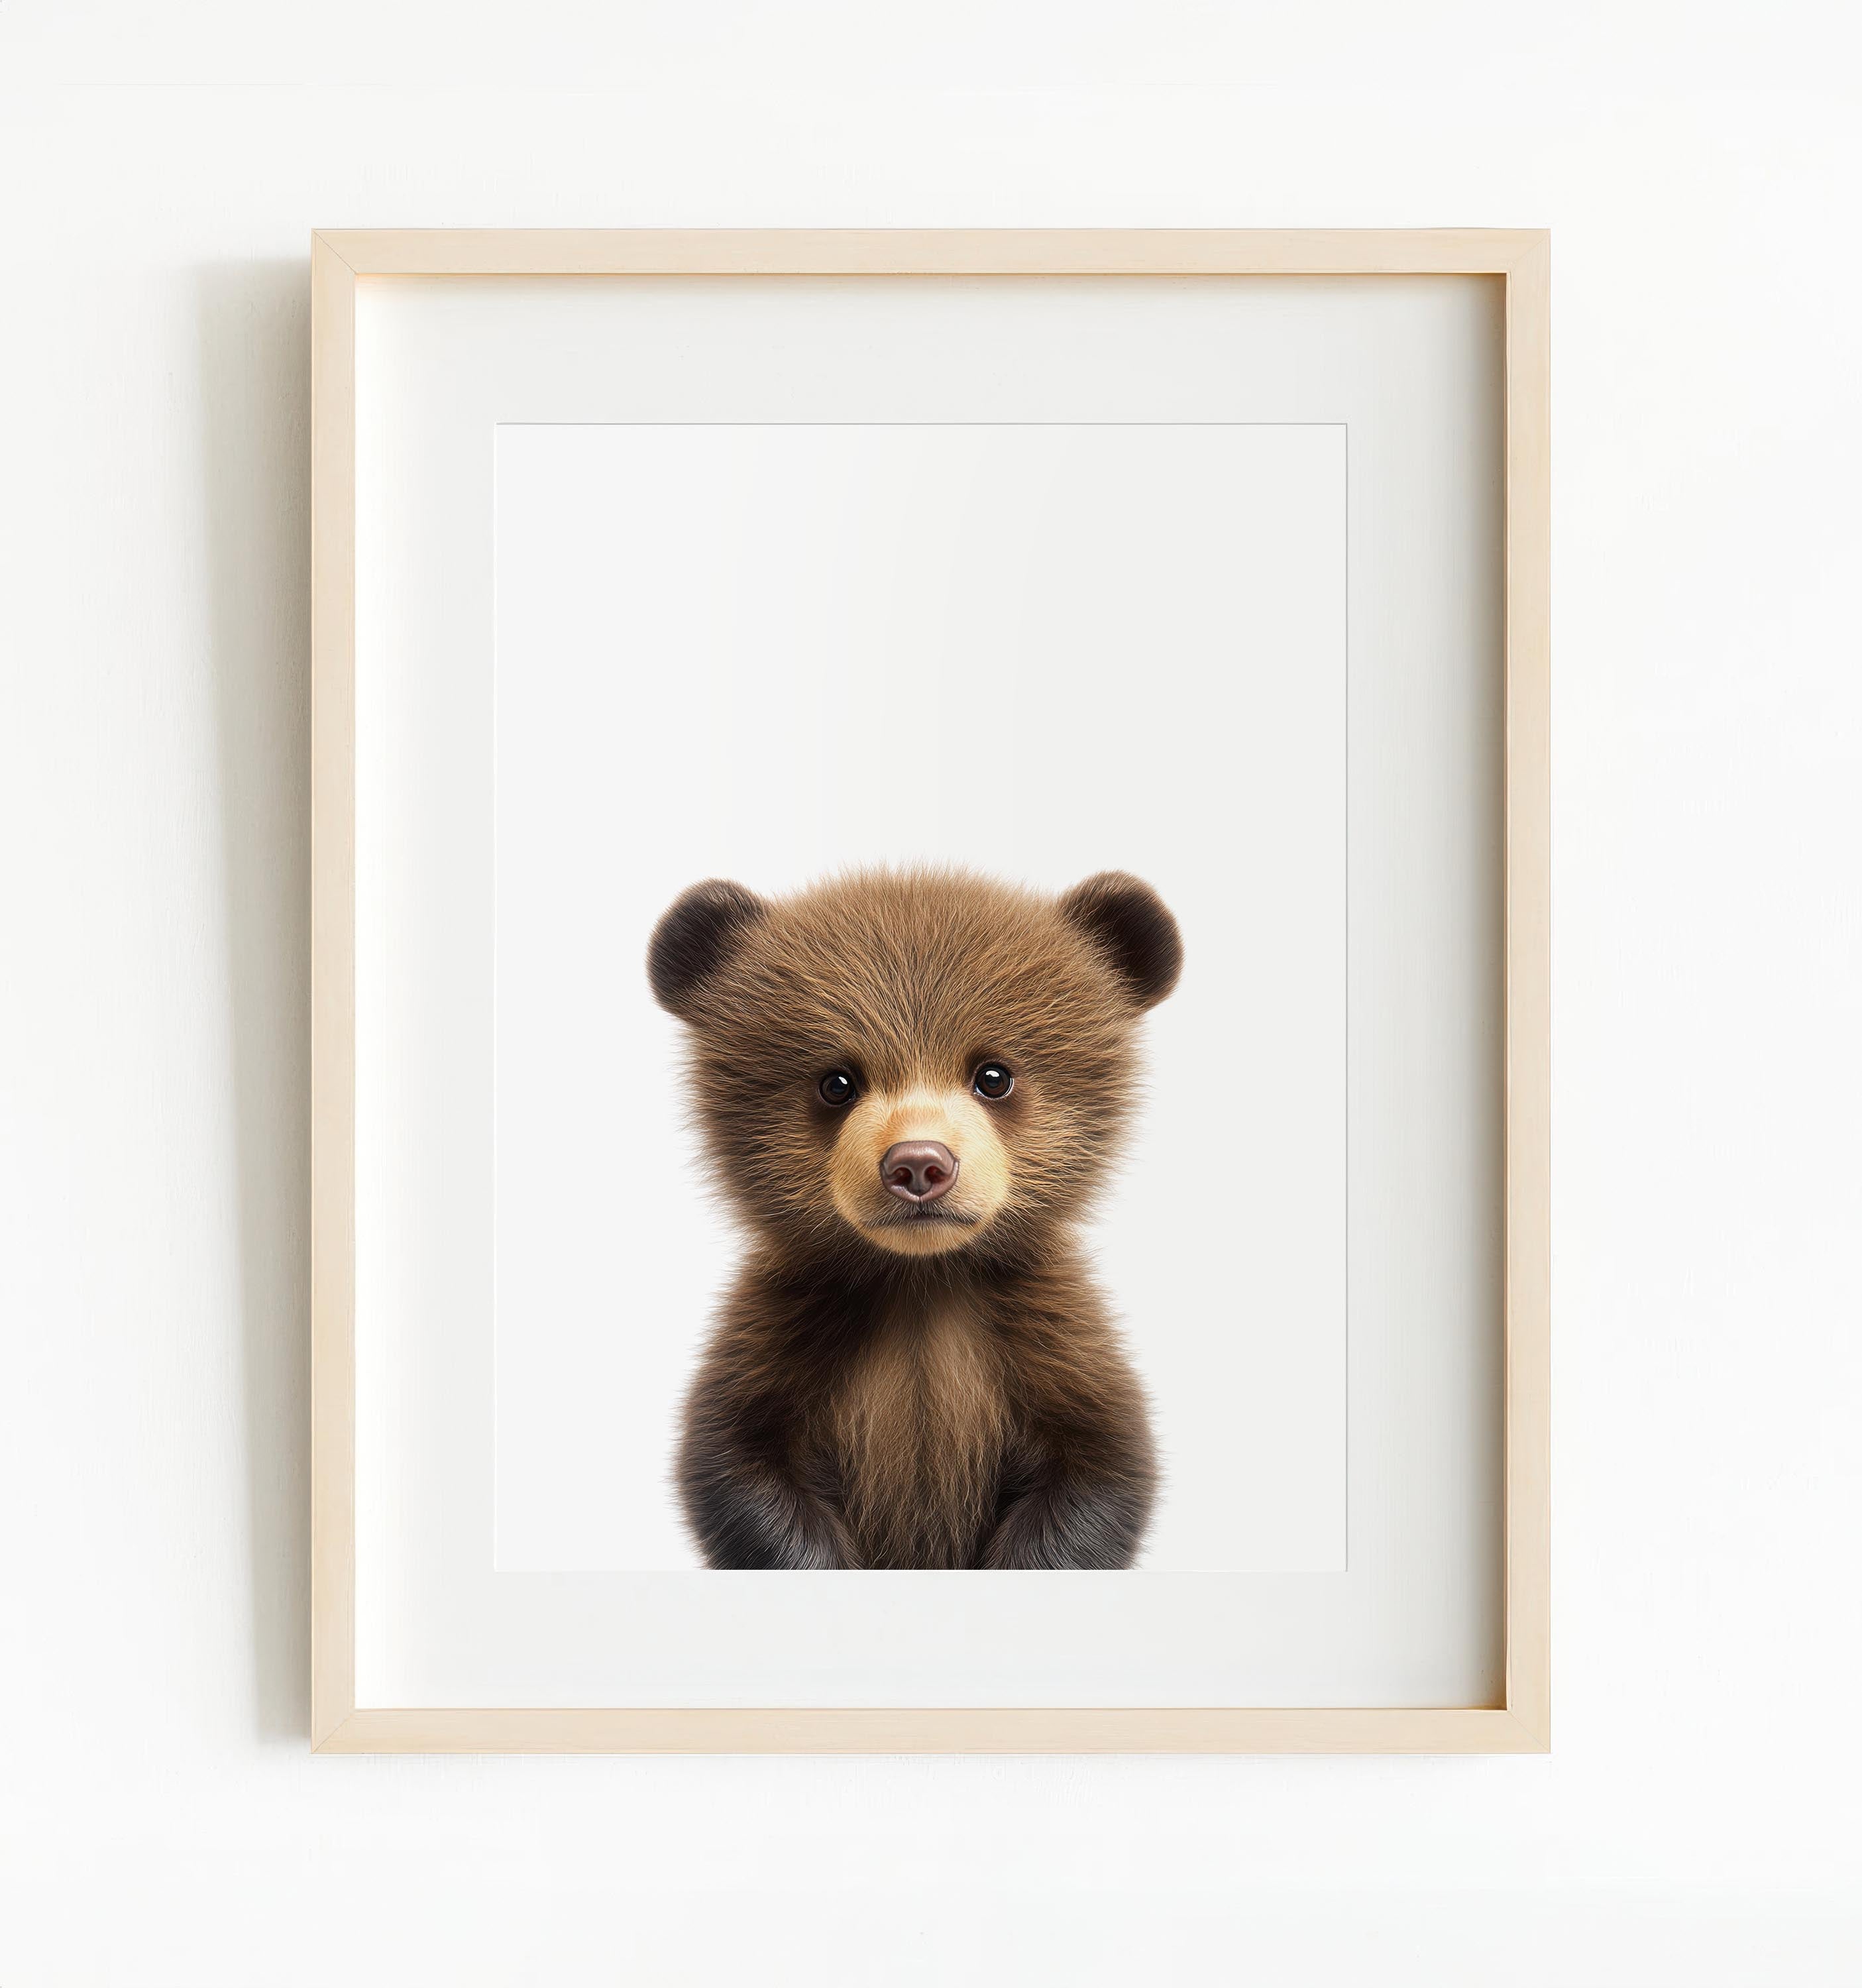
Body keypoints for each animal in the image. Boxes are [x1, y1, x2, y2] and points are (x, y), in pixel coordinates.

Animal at [647, 866, 1182, 1570]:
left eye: (995, 1075)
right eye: (836, 1082)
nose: (919, 1165)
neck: (920, 1282)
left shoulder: (1053, 1342)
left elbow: (1101, 1474)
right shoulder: (783, 1334)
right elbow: (737, 1471)